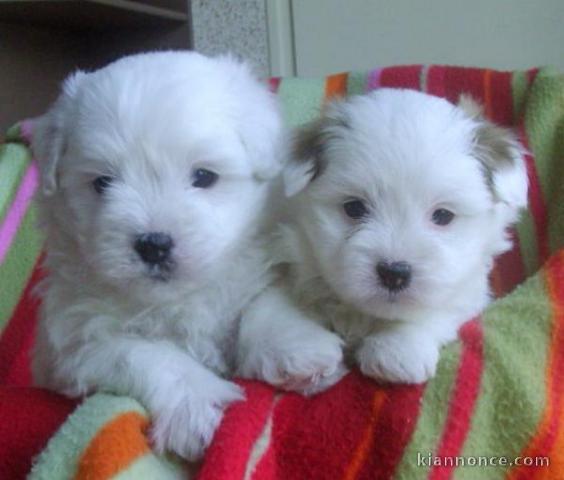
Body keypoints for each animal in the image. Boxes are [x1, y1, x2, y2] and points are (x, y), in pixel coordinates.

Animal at [32, 50, 282, 460]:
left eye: (204, 176)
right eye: (102, 183)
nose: (154, 244)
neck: (170, 301)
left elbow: (260, 304)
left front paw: (298, 349)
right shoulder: (78, 342)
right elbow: (149, 355)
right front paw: (198, 405)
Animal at [236, 88, 528, 392]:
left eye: (443, 216)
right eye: (354, 208)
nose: (394, 272)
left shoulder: (467, 290)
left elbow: (437, 308)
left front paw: (397, 350)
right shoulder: (285, 260)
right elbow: (268, 304)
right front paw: (297, 352)